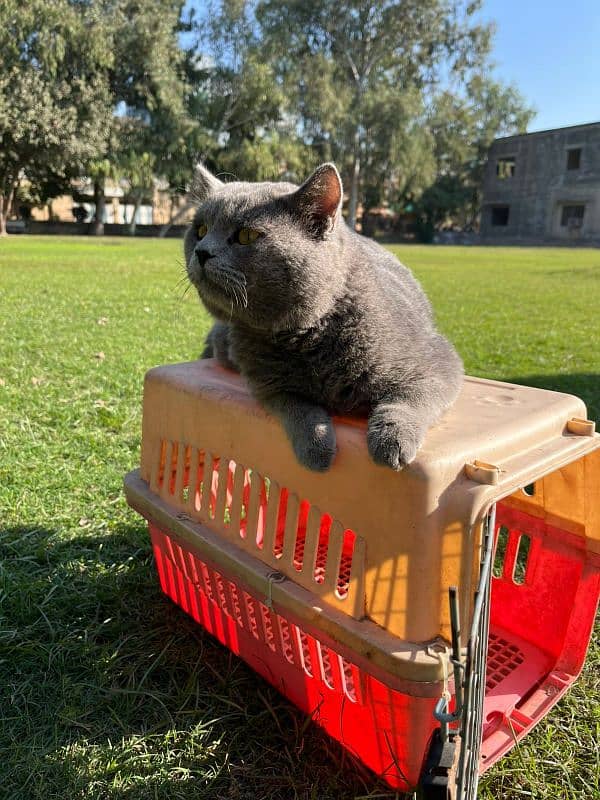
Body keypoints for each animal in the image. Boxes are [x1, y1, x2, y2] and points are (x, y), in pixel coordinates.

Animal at [184, 165, 464, 472]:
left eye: (246, 235)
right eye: (200, 230)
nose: (202, 251)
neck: (306, 337)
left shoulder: (440, 362)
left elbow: (409, 399)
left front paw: (392, 441)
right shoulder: (268, 386)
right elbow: (298, 408)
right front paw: (316, 449)